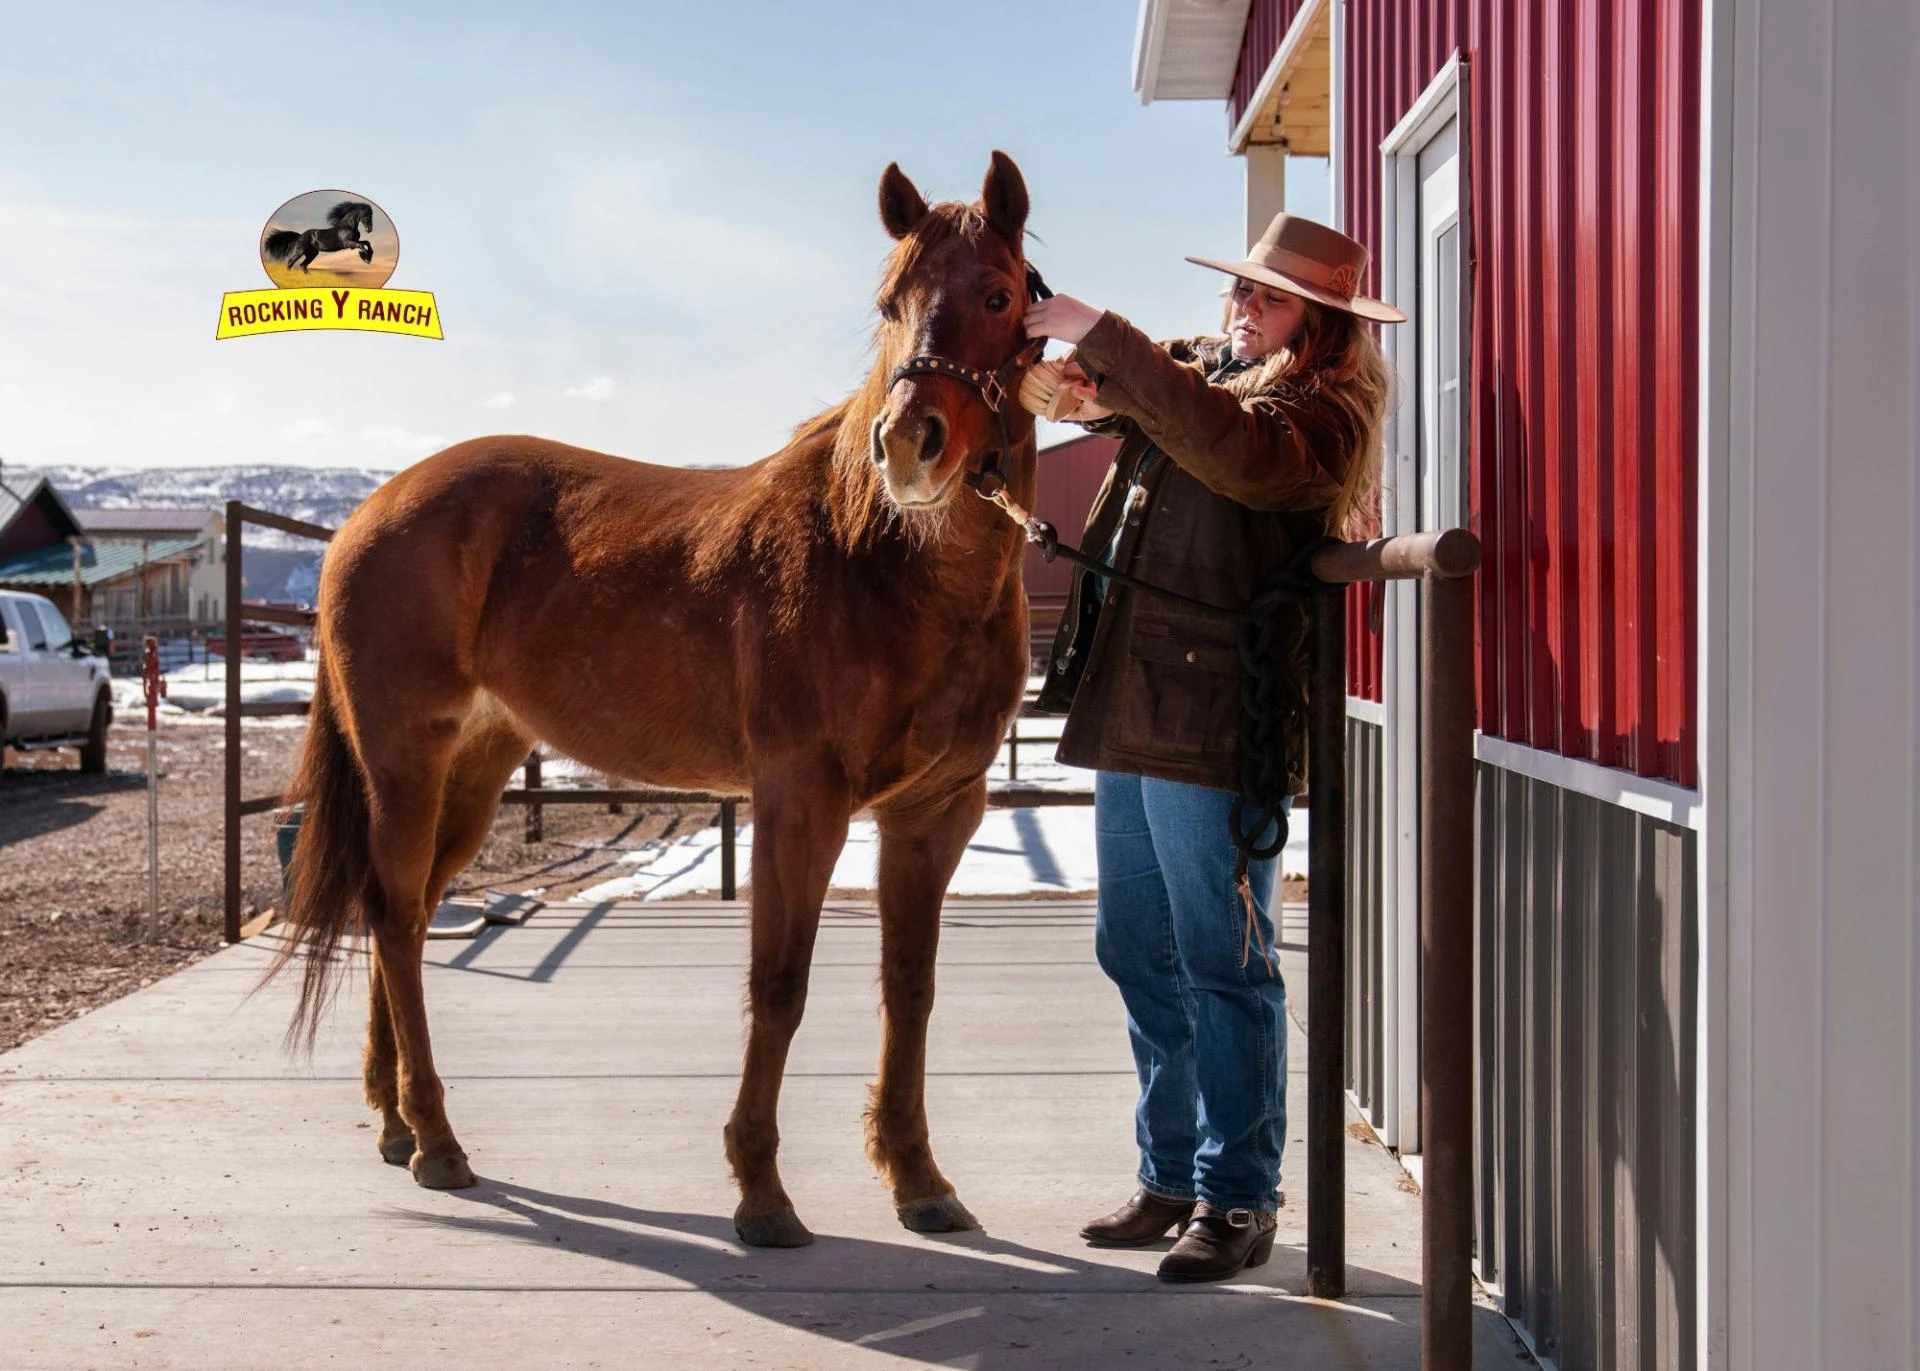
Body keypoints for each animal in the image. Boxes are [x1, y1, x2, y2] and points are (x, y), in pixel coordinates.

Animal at [270, 152, 1043, 1248]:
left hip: (473, 773)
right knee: (394, 914)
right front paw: (761, 1191)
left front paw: (918, 1177)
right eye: (889, 304)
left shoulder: (937, 813)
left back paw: (395, 1120)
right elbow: (780, 986)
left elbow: (911, 989)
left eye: (1000, 295)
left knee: (403, 916)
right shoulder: (800, 802)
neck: (881, 562)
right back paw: (438, 1140)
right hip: (407, 762)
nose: (909, 447)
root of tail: (364, 514)